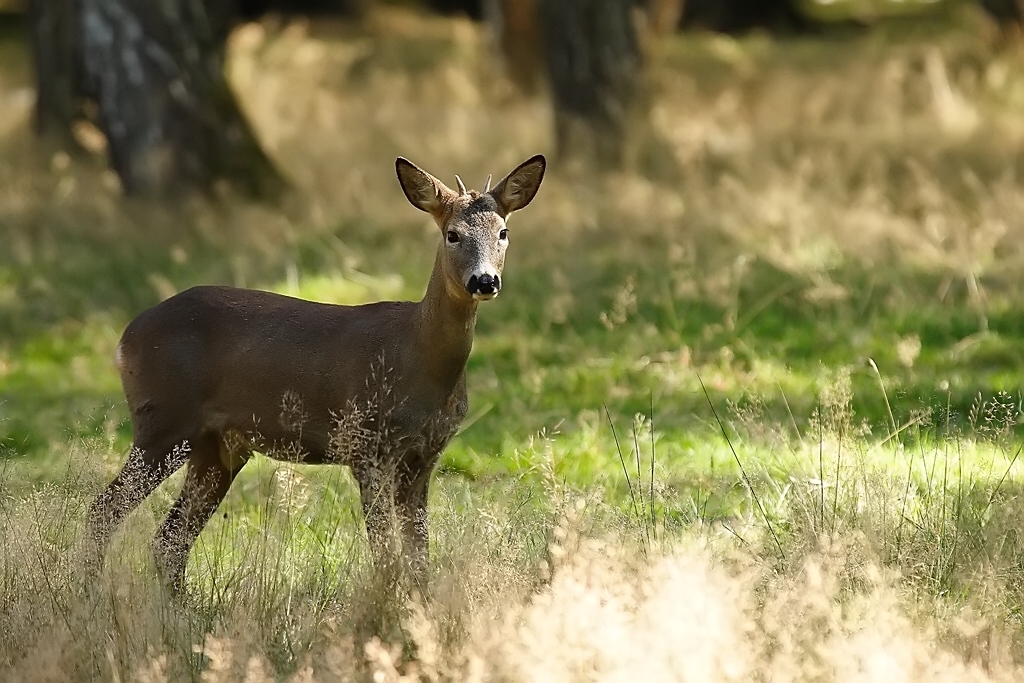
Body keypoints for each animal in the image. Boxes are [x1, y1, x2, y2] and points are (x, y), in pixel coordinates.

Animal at [83, 156, 548, 593]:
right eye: (452, 234)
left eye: (503, 232)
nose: (484, 281)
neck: (417, 359)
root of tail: (126, 337)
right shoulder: (365, 443)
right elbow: (386, 558)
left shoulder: (424, 455)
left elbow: (419, 562)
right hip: (164, 419)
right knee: (103, 512)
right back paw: (90, 598)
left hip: (220, 446)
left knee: (170, 539)